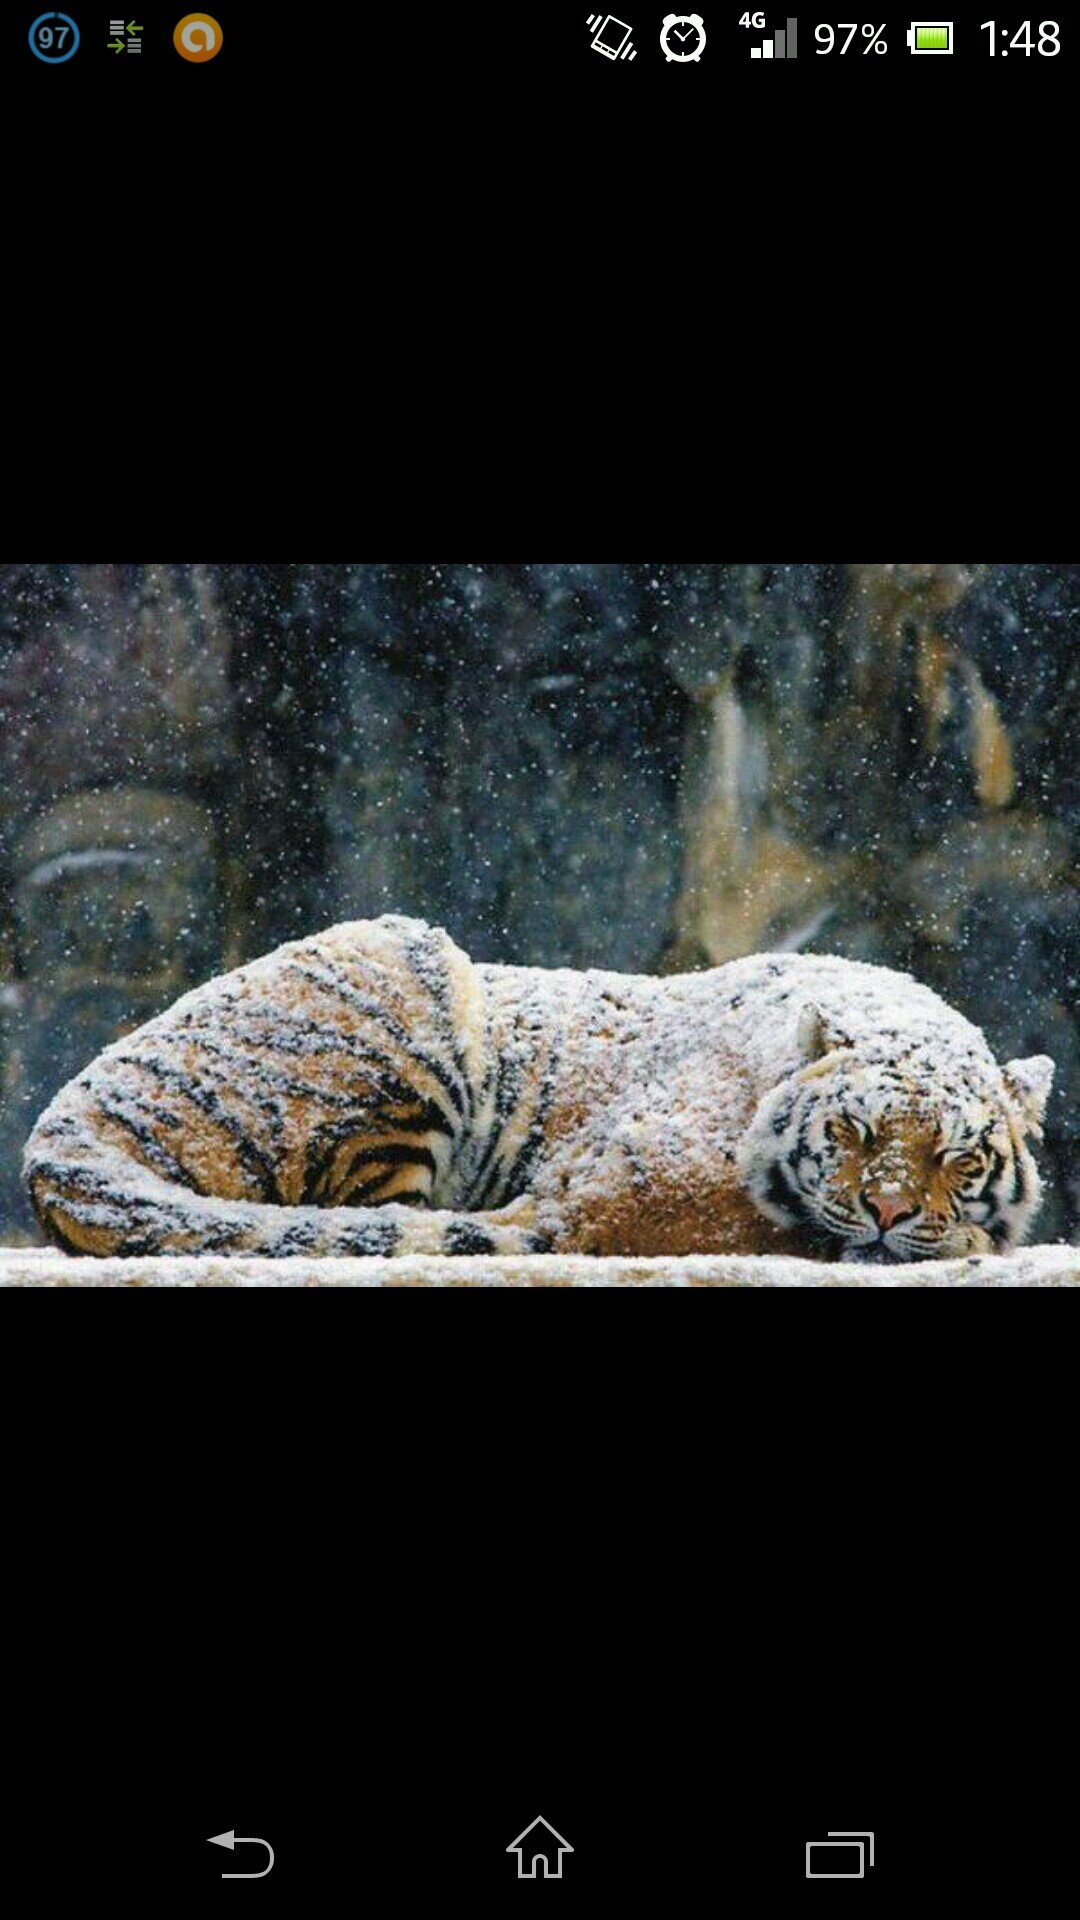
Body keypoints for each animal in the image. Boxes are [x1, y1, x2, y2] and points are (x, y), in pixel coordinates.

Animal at [23, 913, 1054, 1263]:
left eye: (956, 1155)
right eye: (849, 1133)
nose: (885, 1212)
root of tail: (64, 1121)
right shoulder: (618, 1186)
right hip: (409, 976)